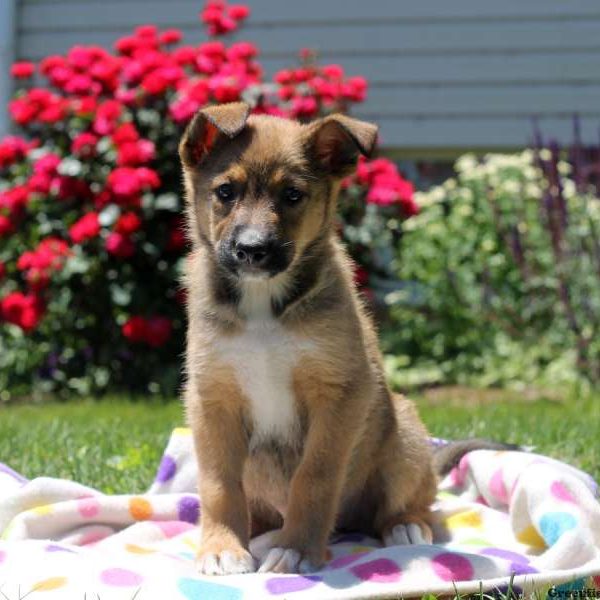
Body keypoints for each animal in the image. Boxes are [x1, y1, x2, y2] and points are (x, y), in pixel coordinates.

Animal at [178, 103, 436, 576]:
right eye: (225, 191)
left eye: (293, 195)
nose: (252, 250)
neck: (263, 305)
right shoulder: (212, 398)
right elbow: (219, 484)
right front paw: (222, 548)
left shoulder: (339, 392)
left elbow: (314, 477)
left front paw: (296, 549)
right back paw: (262, 538)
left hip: (405, 436)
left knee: (409, 501)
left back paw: (405, 527)